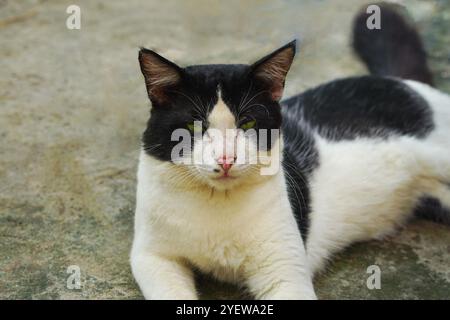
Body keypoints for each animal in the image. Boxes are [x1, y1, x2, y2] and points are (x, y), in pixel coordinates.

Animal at [131, 4, 450, 300]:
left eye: (248, 123)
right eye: (193, 126)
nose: (226, 158)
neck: (216, 203)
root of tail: (399, 82)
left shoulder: (285, 272)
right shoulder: (151, 256)